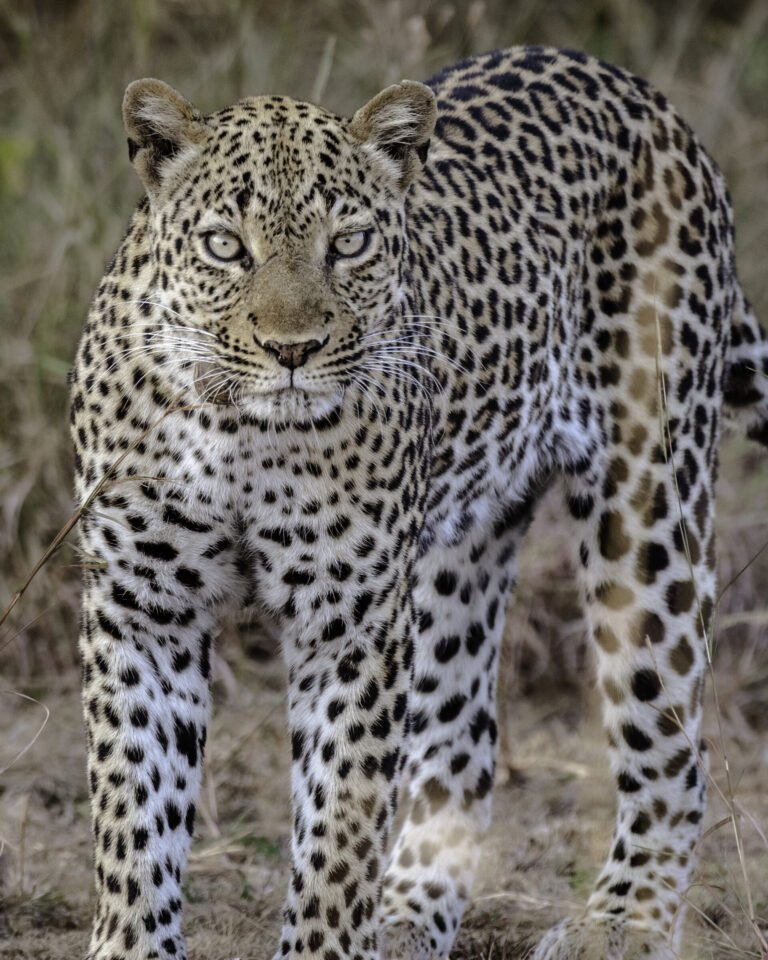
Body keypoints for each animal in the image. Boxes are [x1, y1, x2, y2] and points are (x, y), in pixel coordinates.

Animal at [70, 45, 768, 960]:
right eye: (225, 246)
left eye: (349, 244)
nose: (291, 351)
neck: (239, 429)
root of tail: (639, 94)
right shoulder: (140, 607)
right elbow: (135, 810)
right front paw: (131, 941)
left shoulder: (353, 619)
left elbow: (339, 824)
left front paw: (326, 948)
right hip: (457, 550)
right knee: (464, 743)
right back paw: (406, 917)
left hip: (650, 503)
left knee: (673, 742)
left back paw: (621, 923)